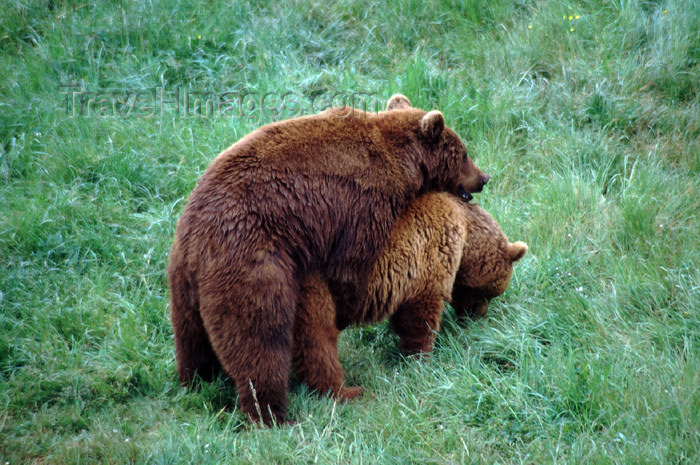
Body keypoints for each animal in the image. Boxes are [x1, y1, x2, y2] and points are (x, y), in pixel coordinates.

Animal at [167, 94, 490, 424]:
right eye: (464, 154)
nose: (484, 178)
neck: (403, 162)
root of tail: (197, 240)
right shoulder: (362, 201)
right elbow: (349, 267)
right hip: (253, 263)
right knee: (260, 339)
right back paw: (273, 412)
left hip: (182, 278)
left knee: (190, 336)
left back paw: (196, 382)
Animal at [290, 191, 524, 398]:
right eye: (488, 295)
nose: (476, 318)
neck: (465, 233)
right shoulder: (428, 252)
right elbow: (420, 315)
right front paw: (420, 359)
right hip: (313, 288)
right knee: (318, 338)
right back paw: (344, 391)